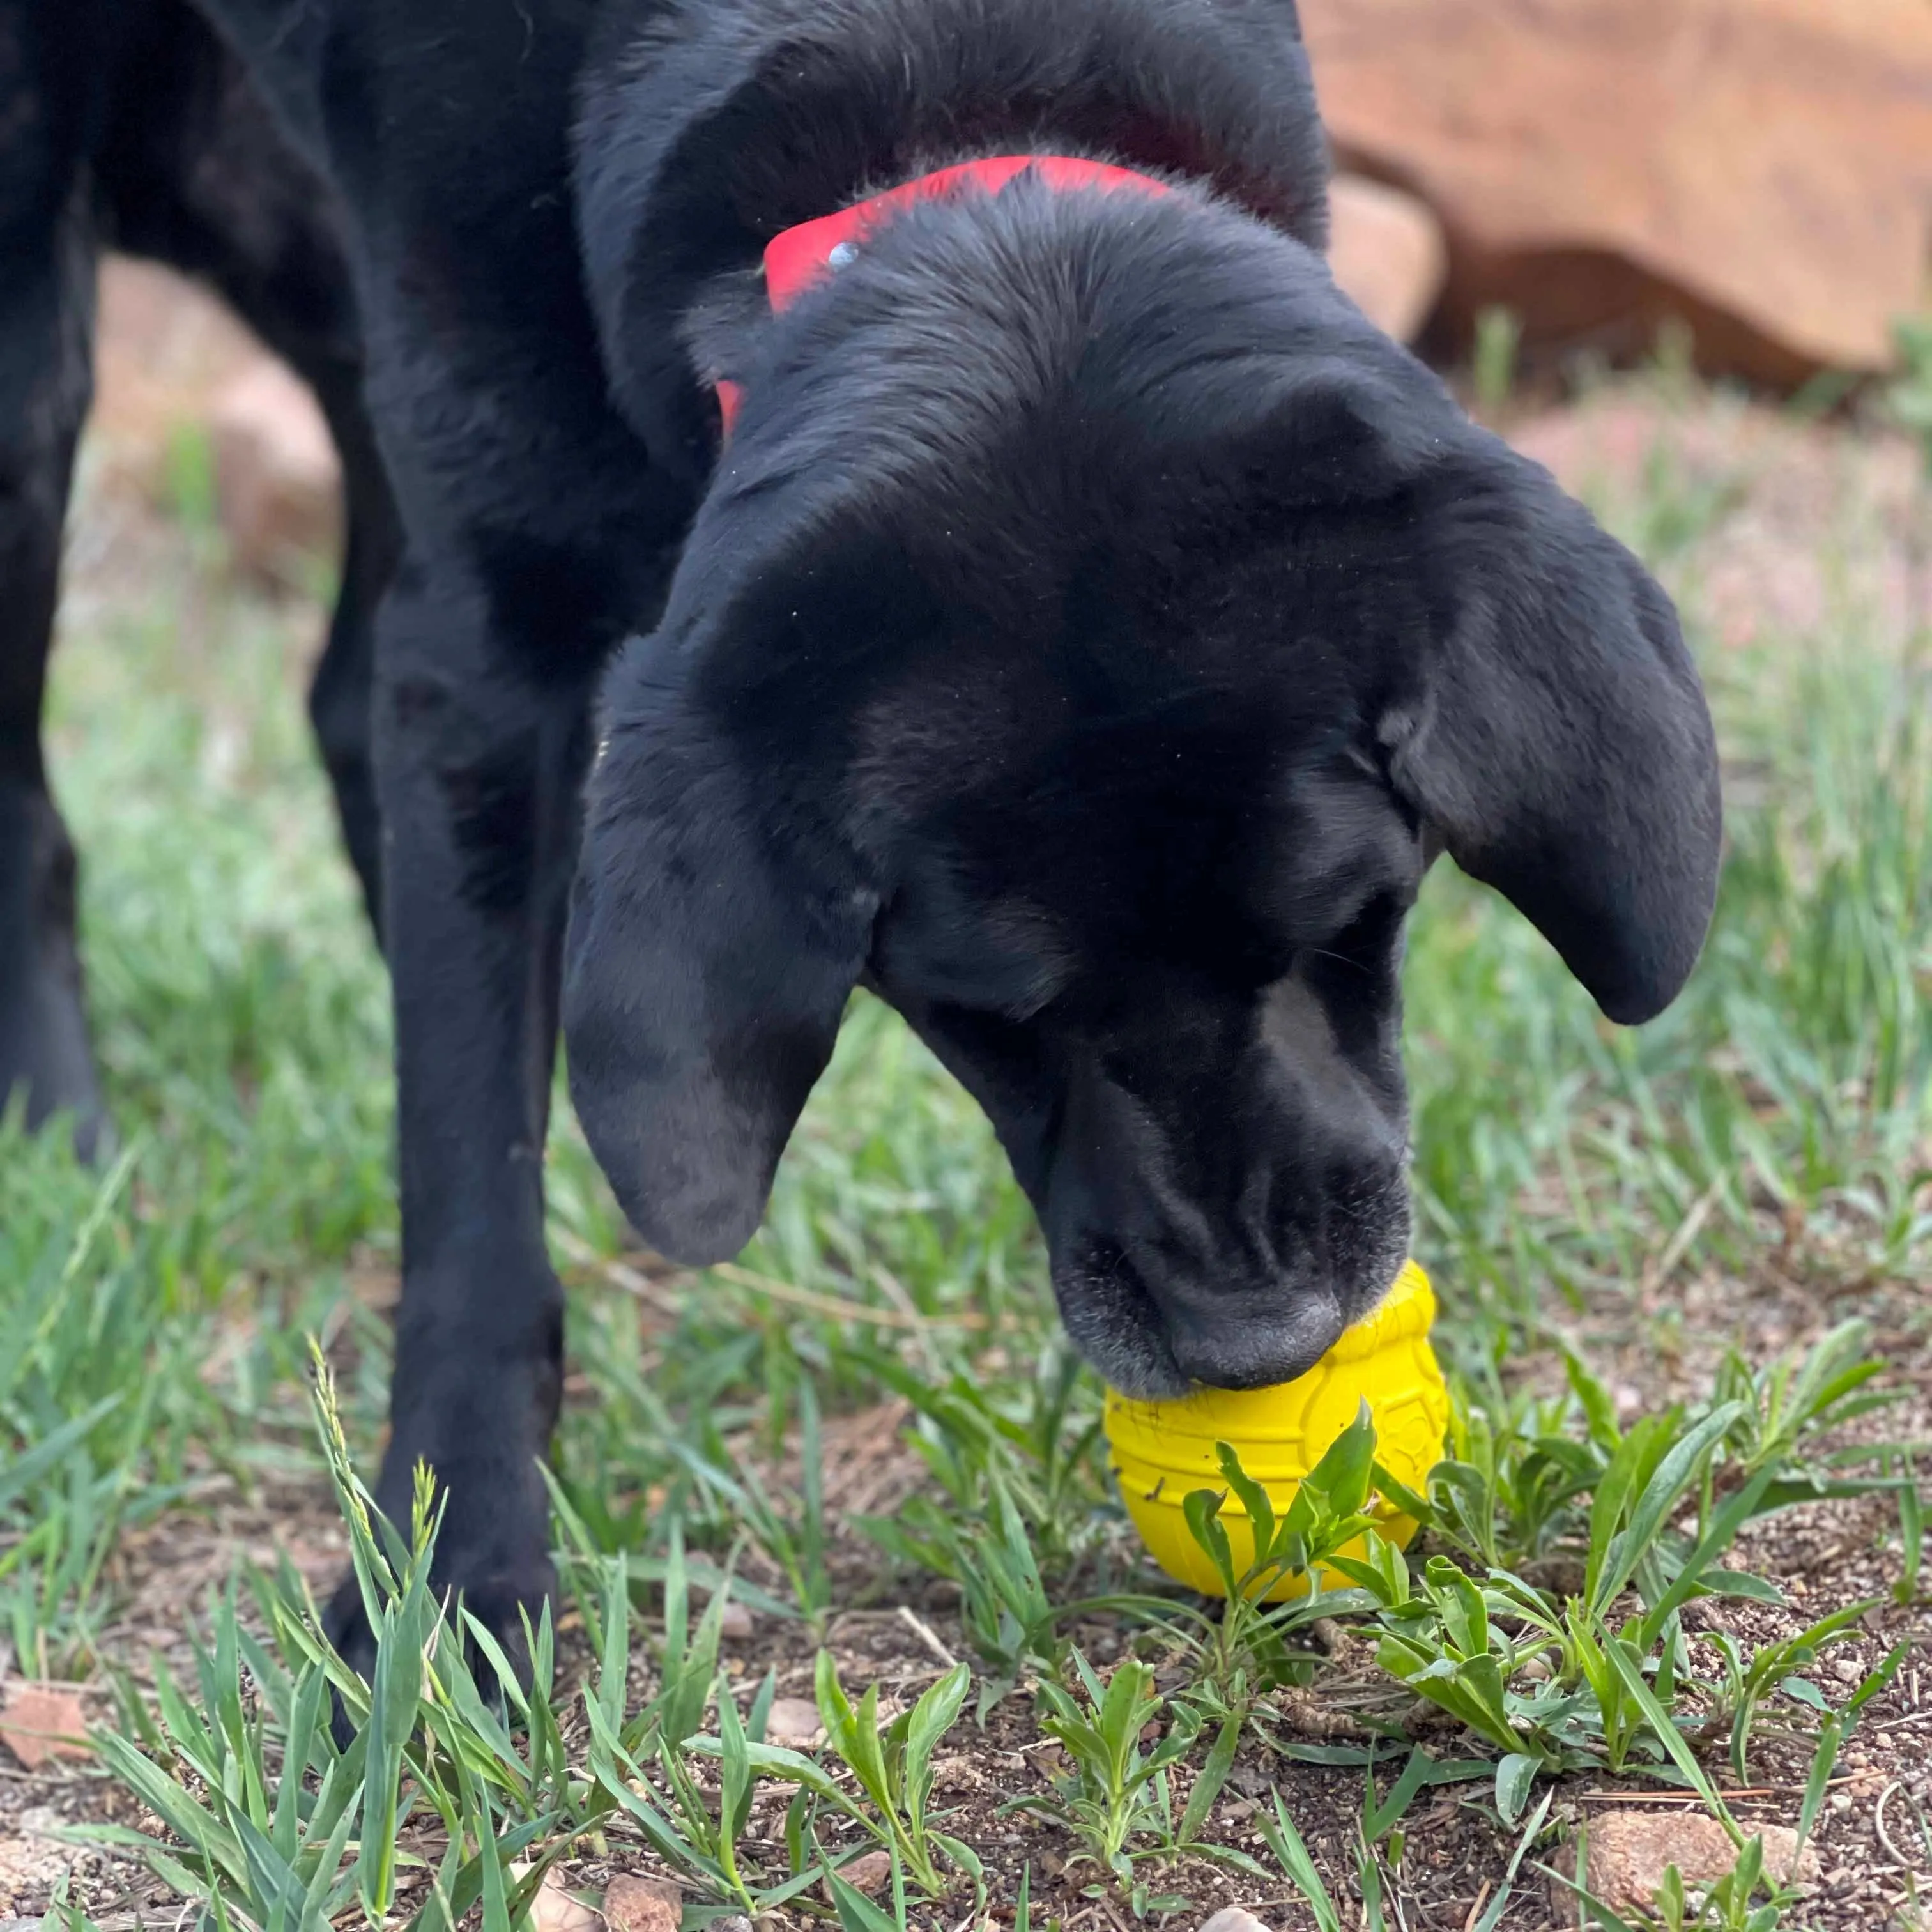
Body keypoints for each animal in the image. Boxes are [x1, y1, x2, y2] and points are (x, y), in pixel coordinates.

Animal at [0, 0, 1723, 1669]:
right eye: (985, 1013)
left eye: (1356, 914)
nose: (1268, 1343)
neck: (933, 94)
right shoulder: (490, 641)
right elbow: (471, 1181)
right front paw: (451, 1574)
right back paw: (64, 1151)